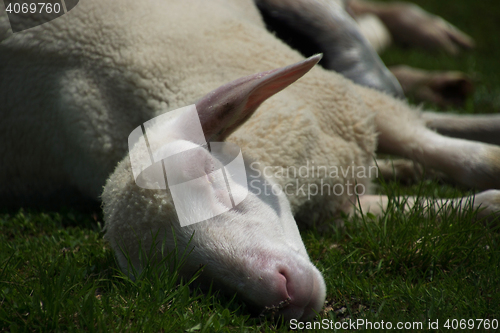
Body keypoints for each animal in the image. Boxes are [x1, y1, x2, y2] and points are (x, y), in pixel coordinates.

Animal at [0, 0, 500, 320]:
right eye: (188, 275)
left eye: (211, 177)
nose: (283, 294)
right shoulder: (338, 208)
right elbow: (420, 207)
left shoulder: (353, 108)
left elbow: (454, 152)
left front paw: (482, 156)